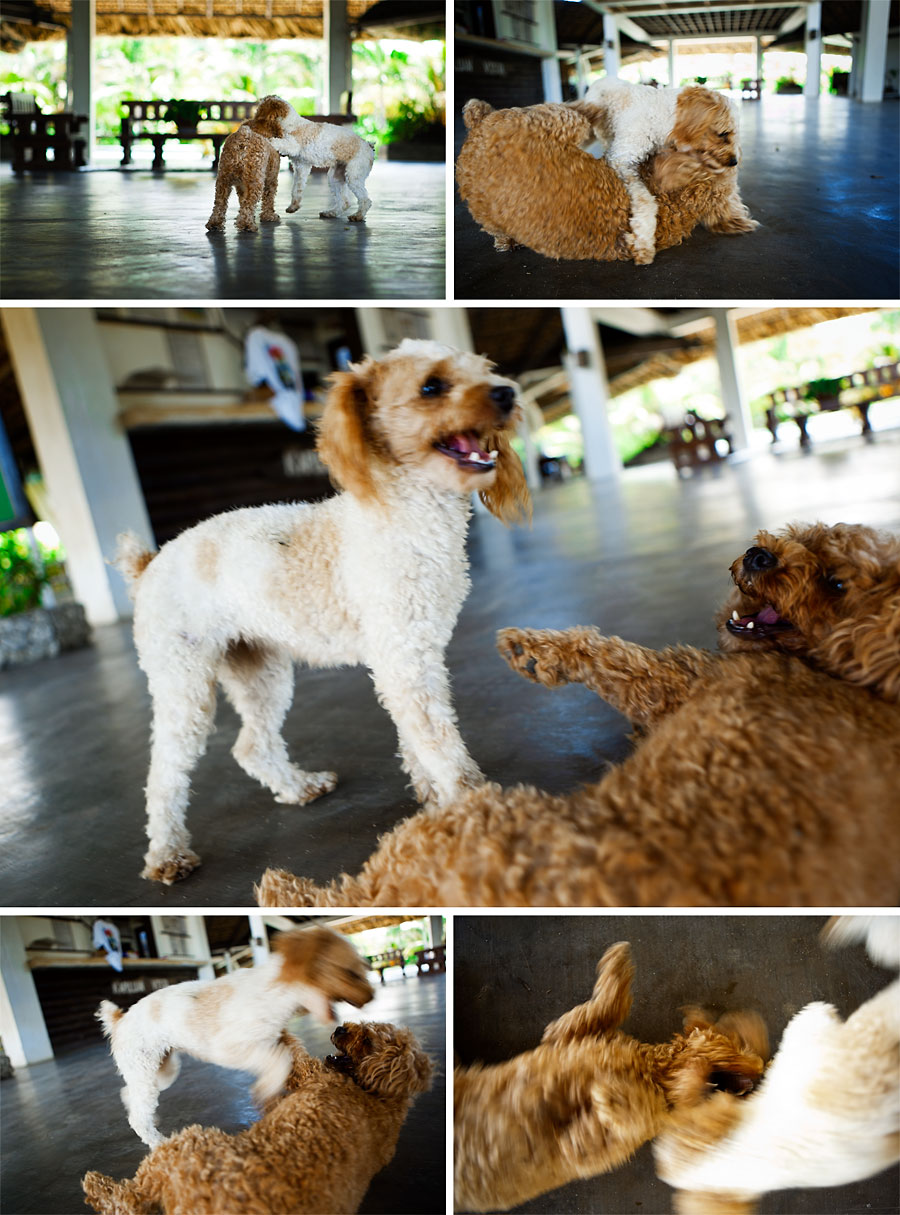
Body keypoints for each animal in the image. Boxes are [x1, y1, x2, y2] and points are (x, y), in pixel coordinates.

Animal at [83, 1025, 432, 1215]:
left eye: (369, 1040)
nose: (340, 1029)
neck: (379, 1098)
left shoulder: (313, 1076)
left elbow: (293, 1054)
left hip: (185, 1145)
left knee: (129, 1200)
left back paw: (97, 1185)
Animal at [115, 340, 529, 884]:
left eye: (484, 370)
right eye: (431, 387)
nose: (507, 393)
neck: (405, 513)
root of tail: (149, 564)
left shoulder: (405, 660)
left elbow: (417, 740)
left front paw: (435, 799)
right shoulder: (405, 660)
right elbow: (440, 744)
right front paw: (474, 805)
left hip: (262, 672)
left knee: (251, 746)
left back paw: (297, 787)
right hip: (183, 685)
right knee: (163, 774)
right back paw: (167, 853)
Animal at [256, 517, 898, 908]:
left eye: (836, 583)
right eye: (806, 535)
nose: (760, 554)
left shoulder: (691, 685)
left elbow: (627, 659)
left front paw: (538, 650)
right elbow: (614, 655)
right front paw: (535, 648)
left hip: (456, 829)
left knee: (350, 897)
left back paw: (283, 888)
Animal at [451, 942, 762, 1210]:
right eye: (739, 1043)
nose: (758, 1071)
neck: (652, 1071)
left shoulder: (589, 1147)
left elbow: (627, 1116)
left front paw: (615, 1096)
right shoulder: (564, 1036)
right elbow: (602, 1010)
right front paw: (618, 966)